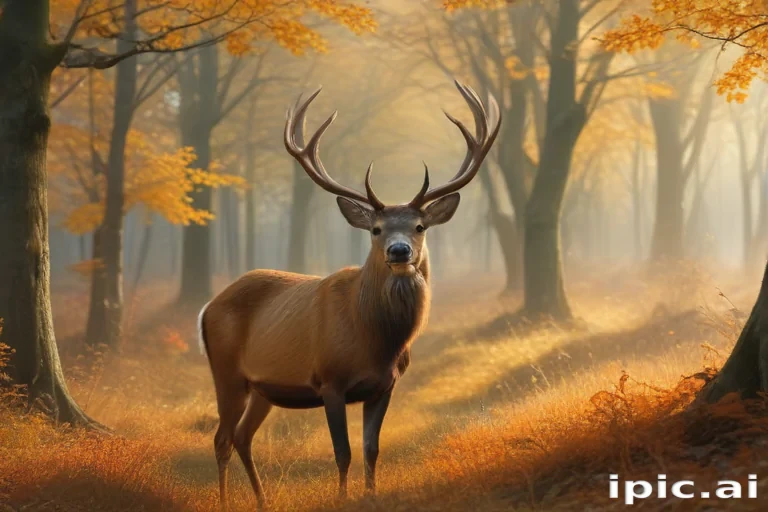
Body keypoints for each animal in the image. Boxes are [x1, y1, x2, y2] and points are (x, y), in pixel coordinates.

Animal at [198, 80, 501, 510]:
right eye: (376, 229)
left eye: (420, 226)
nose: (399, 251)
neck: (375, 340)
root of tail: (208, 307)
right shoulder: (331, 379)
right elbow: (342, 451)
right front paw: (342, 497)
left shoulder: (385, 385)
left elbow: (372, 448)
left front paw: (371, 495)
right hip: (226, 371)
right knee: (222, 438)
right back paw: (226, 501)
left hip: (263, 387)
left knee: (242, 436)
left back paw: (262, 500)